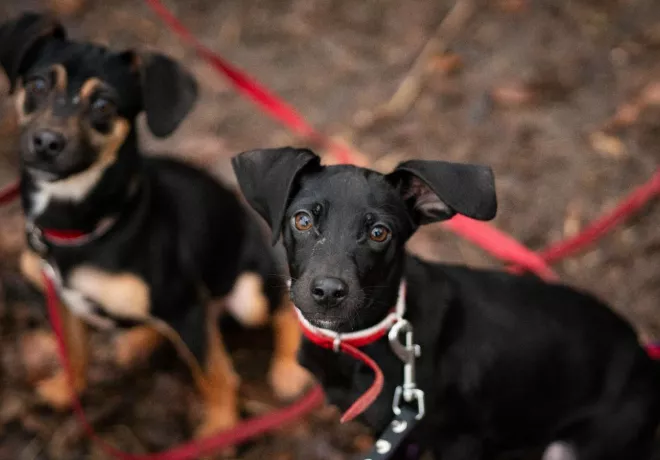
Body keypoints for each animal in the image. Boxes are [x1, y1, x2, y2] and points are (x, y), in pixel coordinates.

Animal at [0, 12, 310, 440]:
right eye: (37, 85)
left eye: (104, 104)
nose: (46, 142)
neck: (85, 223)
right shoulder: (60, 298)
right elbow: (75, 352)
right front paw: (66, 391)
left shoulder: (185, 306)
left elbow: (213, 376)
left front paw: (220, 430)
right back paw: (137, 341)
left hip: (247, 293)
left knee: (282, 310)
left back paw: (289, 369)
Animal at [235, 148, 660, 460]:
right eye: (303, 221)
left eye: (379, 232)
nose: (327, 292)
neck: (361, 344)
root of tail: (643, 356)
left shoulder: (460, 439)